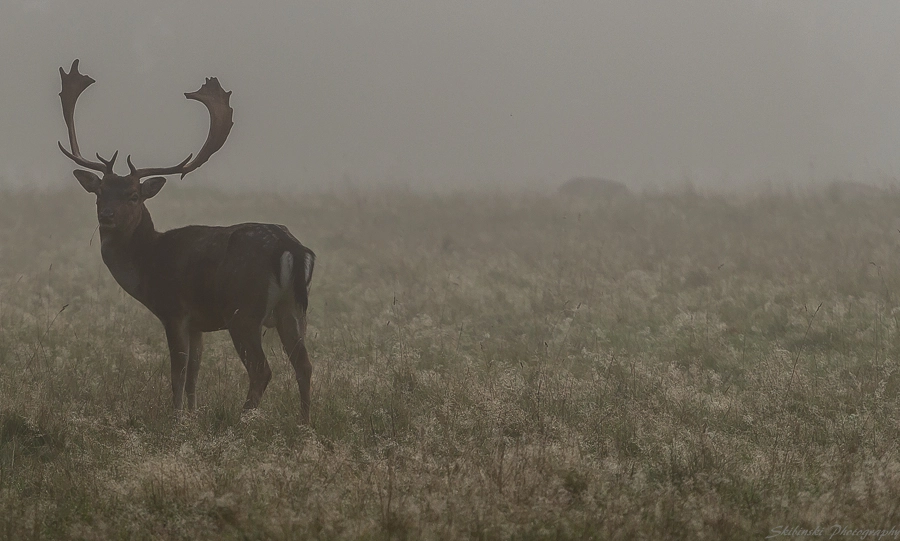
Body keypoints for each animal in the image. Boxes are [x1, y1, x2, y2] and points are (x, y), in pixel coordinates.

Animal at [57, 59, 316, 422]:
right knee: (304, 365)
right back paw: (305, 424)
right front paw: (193, 413)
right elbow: (195, 371)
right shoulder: (198, 323)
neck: (147, 266)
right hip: (292, 309)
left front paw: (176, 417)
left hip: (243, 310)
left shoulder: (174, 309)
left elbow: (177, 371)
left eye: (134, 195)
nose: (106, 215)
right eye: (99, 193)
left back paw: (242, 419)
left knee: (262, 370)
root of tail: (290, 246)